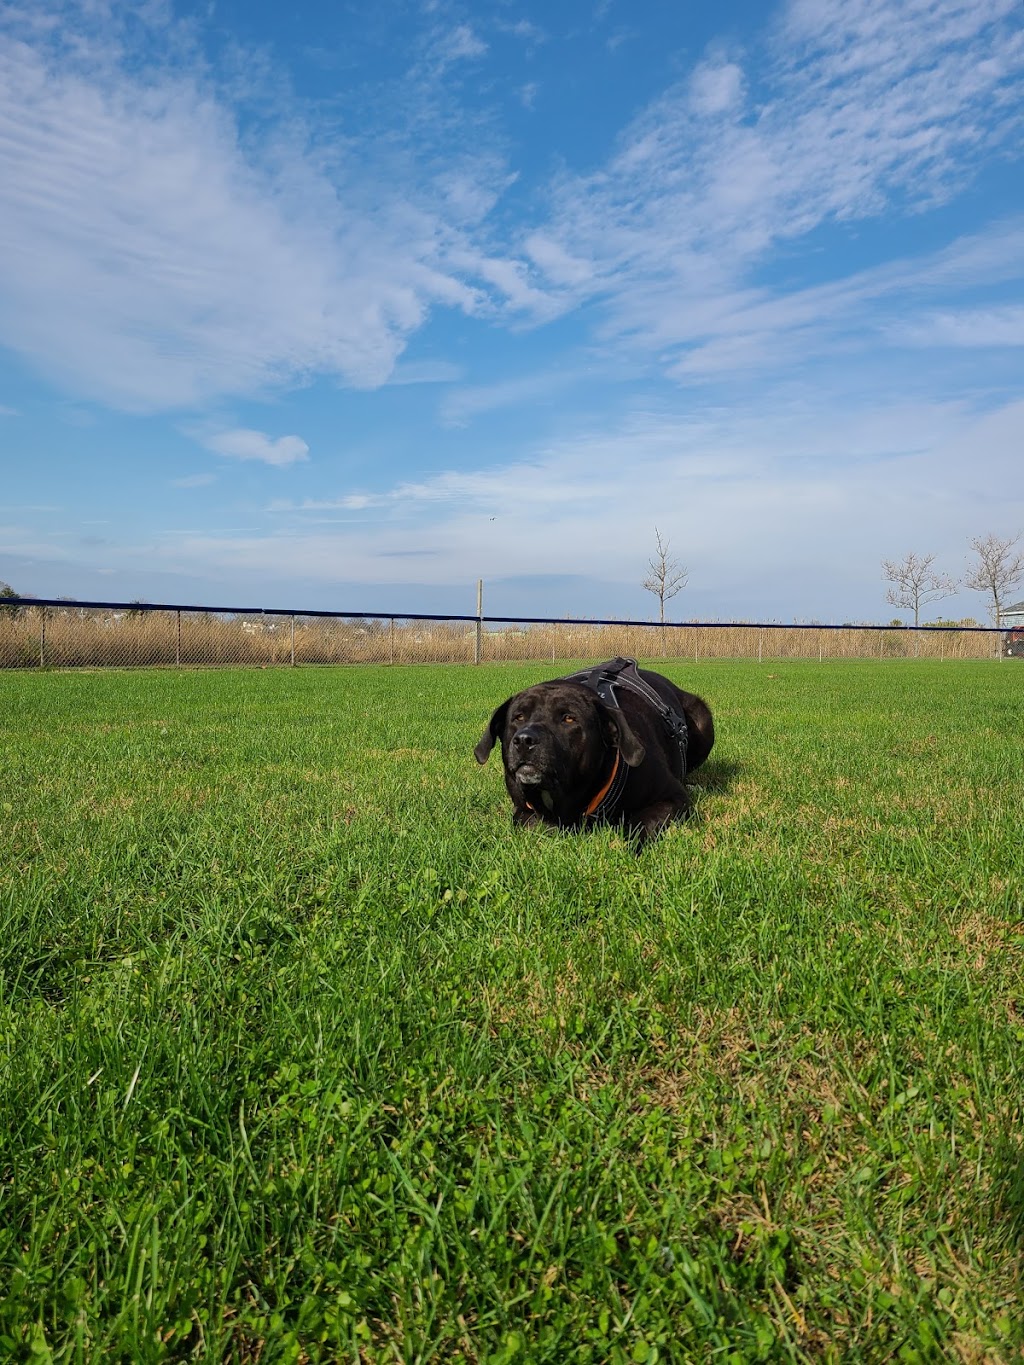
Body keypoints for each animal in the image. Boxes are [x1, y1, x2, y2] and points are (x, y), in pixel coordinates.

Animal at [475, 657, 709, 840]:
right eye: (518, 717)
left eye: (569, 718)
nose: (525, 739)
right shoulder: (523, 809)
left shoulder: (671, 797)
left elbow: (642, 823)